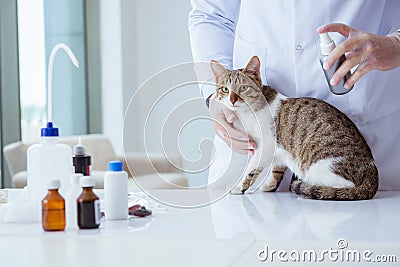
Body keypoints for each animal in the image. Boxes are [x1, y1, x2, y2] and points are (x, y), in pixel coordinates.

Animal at [209, 55, 378, 200]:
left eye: (243, 88)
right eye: (225, 89)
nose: (232, 100)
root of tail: (371, 168)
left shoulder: (266, 146)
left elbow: (250, 170)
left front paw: (239, 187)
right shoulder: (278, 150)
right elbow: (277, 169)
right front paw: (270, 185)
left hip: (319, 166)